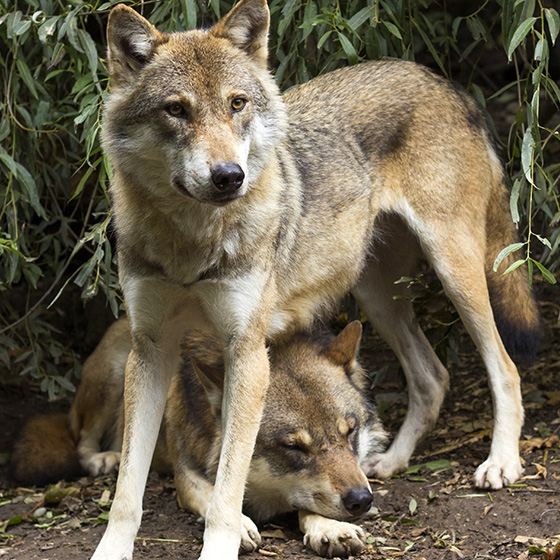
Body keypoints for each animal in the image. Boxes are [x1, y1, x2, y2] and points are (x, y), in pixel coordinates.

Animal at [9, 320, 384, 556]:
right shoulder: (187, 477)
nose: (361, 500)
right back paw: (105, 459)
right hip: (121, 375)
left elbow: (307, 502)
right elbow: (214, 495)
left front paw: (330, 528)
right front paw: (239, 525)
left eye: (350, 433)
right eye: (293, 447)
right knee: (82, 440)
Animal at [94, 0, 540, 556]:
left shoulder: (247, 352)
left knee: (505, 368)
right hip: (377, 298)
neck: (190, 241)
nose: (229, 176)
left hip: (457, 274)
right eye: (176, 110)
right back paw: (390, 461)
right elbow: (128, 488)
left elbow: (229, 485)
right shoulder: (150, 349)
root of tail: (443, 81)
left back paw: (500, 463)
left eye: (237, 103)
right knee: (432, 376)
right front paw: (111, 548)